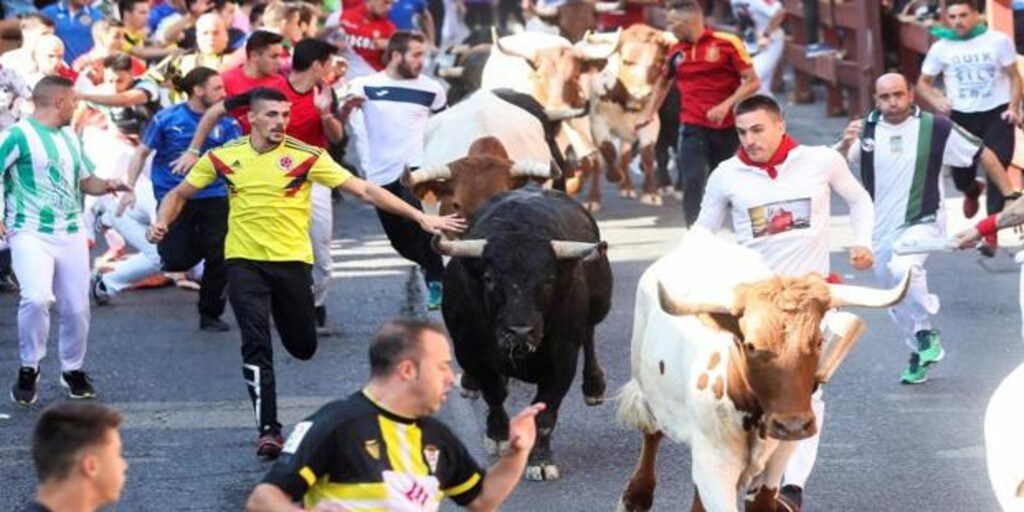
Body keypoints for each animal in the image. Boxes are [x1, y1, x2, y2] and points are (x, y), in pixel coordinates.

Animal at [438, 188, 610, 479]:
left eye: (549, 279)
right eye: (489, 278)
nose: (520, 330)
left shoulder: (563, 362)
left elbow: (545, 414)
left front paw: (540, 461)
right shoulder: (471, 352)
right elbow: (494, 394)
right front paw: (498, 435)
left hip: (600, 304)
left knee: (589, 333)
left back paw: (594, 387)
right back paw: (470, 385)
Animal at [585, 24, 679, 207]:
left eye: (659, 62)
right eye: (626, 61)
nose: (641, 93)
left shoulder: (650, 123)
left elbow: (648, 154)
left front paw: (651, 193)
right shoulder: (597, 122)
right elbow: (607, 150)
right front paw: (613, 176)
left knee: (626, 155)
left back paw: (628, 187)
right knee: (598, 160)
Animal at [614, 229, 913, 512]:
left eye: (818, 341)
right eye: (750, 345)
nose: (792, 425)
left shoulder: (776, 459)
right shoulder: (714, 464)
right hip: (649, 390)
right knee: (652, 433)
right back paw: (635, 496)